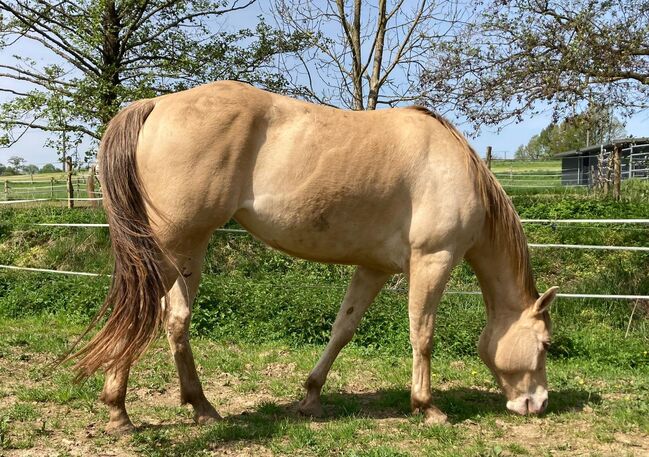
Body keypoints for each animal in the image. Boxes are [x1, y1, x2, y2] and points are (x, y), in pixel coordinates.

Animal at [69, 80, 556, 432]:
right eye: (546, 344)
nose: (537, 404)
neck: (456, 168)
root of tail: (155, 104)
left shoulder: (373, 269)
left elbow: (343, 330)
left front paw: (311, 397)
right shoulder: (433, 260)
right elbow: (423, 335)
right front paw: (427, 407)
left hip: (186, 251)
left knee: (173, 320)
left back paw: (201, 407)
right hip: (172, 246)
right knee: (141, 316)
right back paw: (119, 412)